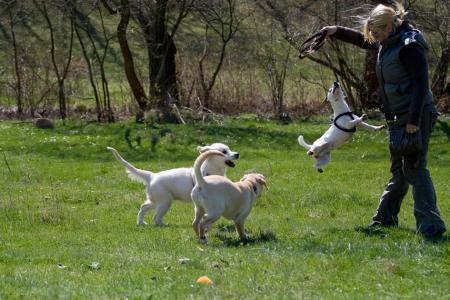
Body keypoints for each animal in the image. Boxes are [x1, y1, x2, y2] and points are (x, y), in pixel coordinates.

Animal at [107, 143, 239, 225]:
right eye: (224, 151)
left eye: (229, 149)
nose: (237, 154)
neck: (211, 170)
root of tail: (151, 176)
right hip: (164, 202)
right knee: (156, 217)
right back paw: (163, 225)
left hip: (156, 200)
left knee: (143, 207)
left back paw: (140, 222)